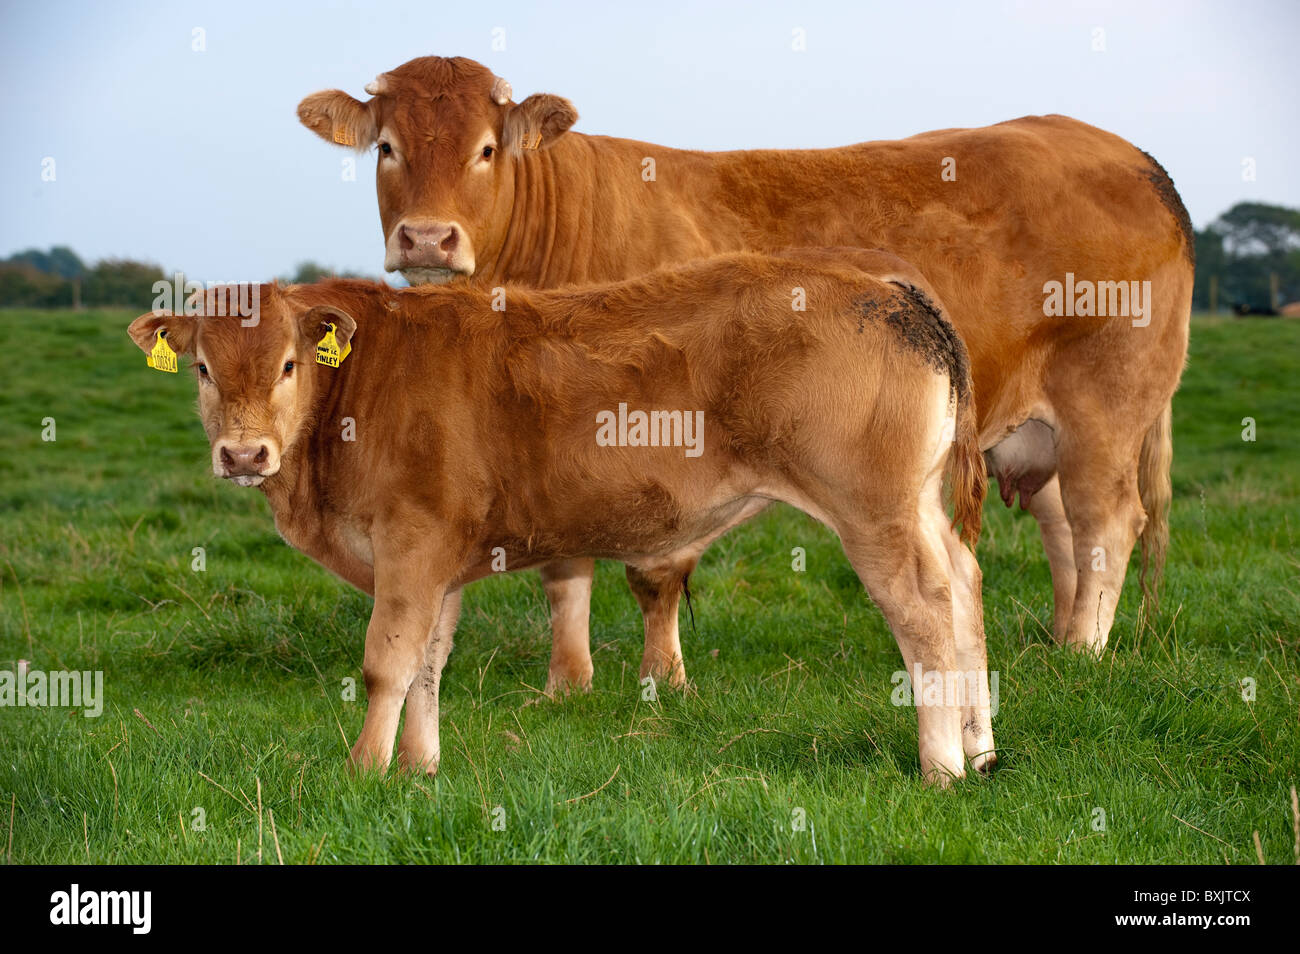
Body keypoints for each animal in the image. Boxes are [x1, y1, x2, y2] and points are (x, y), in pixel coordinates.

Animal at [126, 250, 992, 785]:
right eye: (202, 369)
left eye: (287, 365)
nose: (244, 454)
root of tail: (885, 284)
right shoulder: (439, 562)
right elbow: (428, 664)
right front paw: (417, 769)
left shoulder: (410, 542)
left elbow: (386, 662)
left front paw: (363, 770)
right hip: (917, 507)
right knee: (965, 585)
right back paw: (980, 746)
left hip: (873, 514)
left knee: (925, 611)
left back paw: (941, 766)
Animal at [298, 56, 1194, 686]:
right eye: (387, 148)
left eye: (486, 149)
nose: (427, 238)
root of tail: (1130, 154)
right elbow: (565, 567)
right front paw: (568, 682)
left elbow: (654, 573)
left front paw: (662, 680)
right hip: (1035, 431)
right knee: (1062, 529)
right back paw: (1057, 642)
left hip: (1106, 404)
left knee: (1107, 522)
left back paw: (1084, 652)